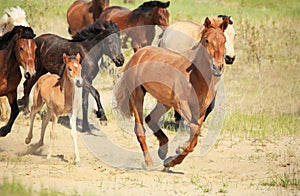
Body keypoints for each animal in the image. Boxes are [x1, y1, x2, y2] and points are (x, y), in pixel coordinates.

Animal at [113, 16, 229, 169]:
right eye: (207, 40)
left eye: (224, 41)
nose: (218, 67)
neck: (195, 76)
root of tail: (137, 55)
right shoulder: (182, 105)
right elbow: (194, 129)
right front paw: (179, 150)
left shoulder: (201, 110)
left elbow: (195, 134)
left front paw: (171, 160)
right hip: (137, 95)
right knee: (140, 129)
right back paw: (149, 162)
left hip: (164, 102)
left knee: (150, 118)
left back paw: (162, 151)